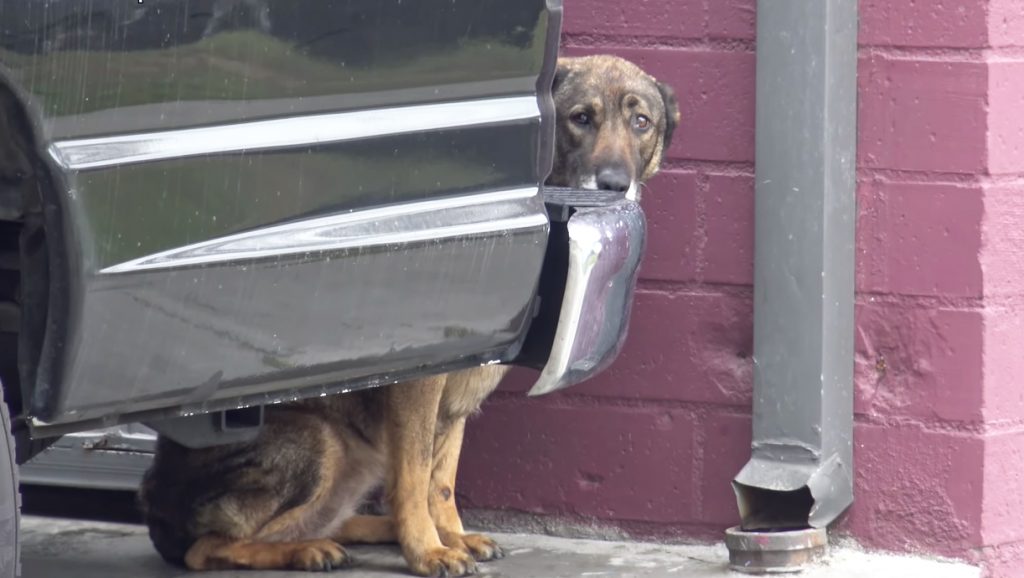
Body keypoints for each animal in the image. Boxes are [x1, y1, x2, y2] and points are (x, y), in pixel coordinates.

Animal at [136, 53, 679, 573]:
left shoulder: (459, 391)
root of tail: (155, 510)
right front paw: (428, 551)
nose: (614, 185)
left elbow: (441, 479)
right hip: (323, 440)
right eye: (581, 118)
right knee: (208, 547)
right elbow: (415, 478)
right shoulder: (420, 384)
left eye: (642, 123)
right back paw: (310, 550)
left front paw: (450, 536)